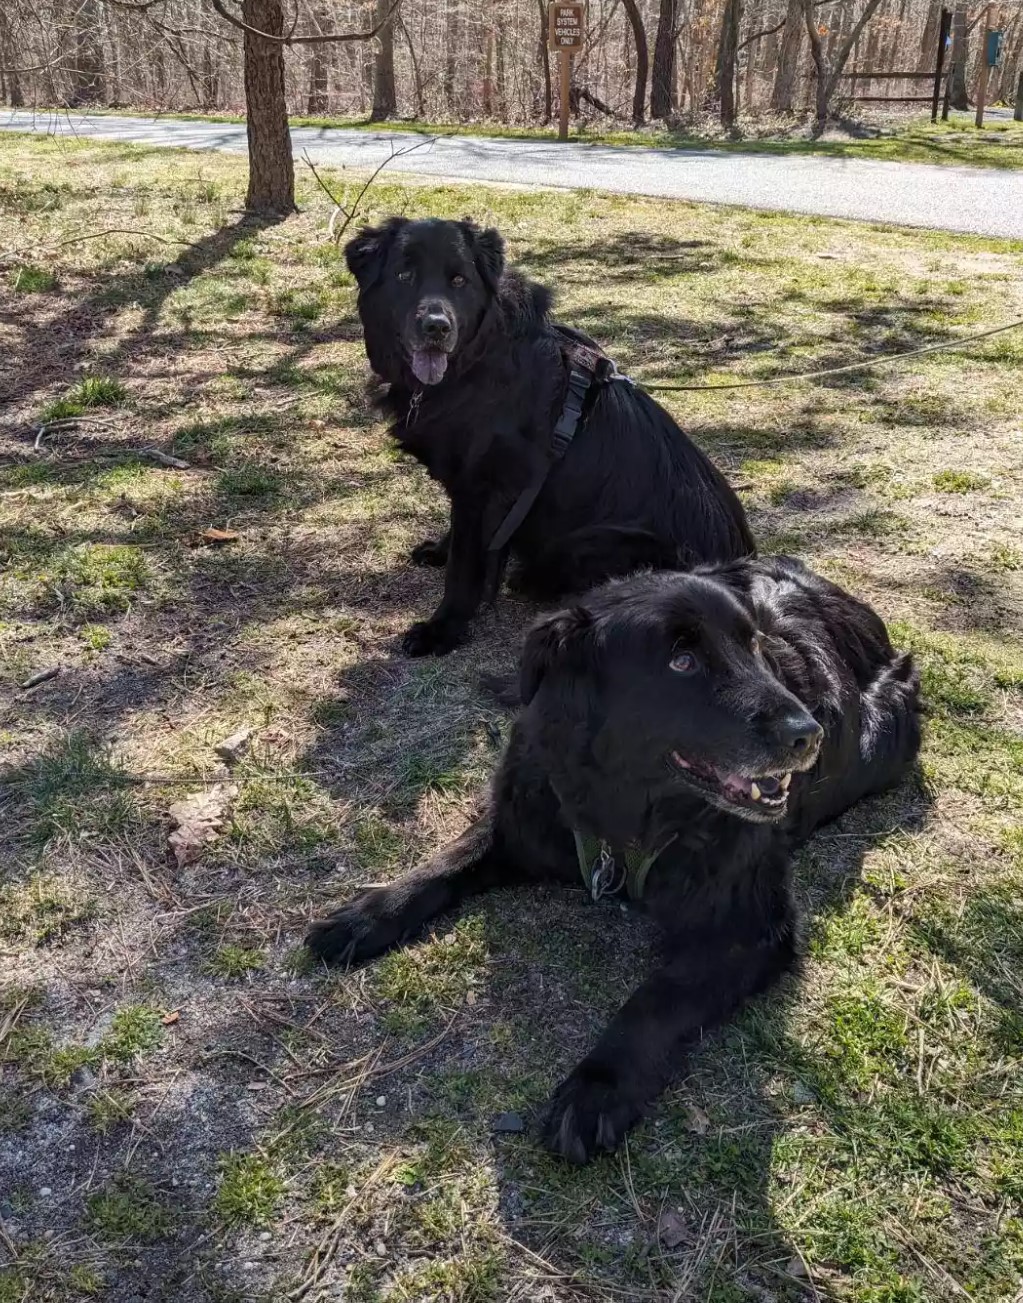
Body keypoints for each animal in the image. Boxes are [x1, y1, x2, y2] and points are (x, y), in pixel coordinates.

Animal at [307, 557, 922, 1162]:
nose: (807, 734)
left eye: (754, 646)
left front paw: (599, 1085)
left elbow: (655, 999)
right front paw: (369, 914)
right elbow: (446, 861)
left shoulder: (748, 929)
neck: (627, 813)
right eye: (681, 661)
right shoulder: (524, 819)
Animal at [346, 217, 755, 656]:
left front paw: (444, 628)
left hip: (598, 542)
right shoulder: (470, 485)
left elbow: (465, 565)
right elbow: (457, 538)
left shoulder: (487, 490)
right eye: (404, 276)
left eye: (459, 280)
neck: (477, 359)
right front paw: (440, 552)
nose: (436, 327)